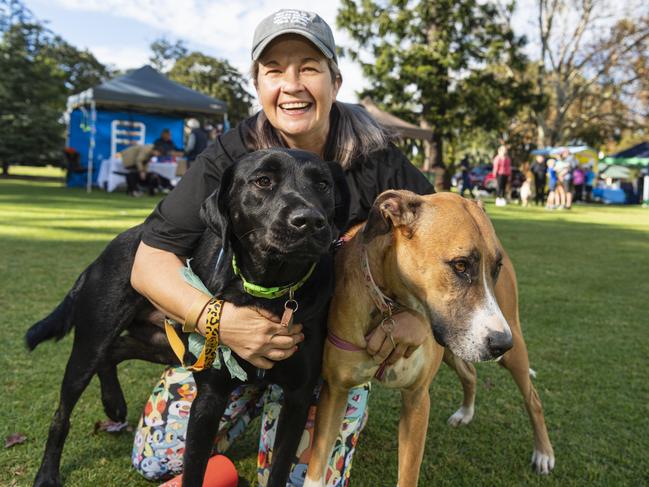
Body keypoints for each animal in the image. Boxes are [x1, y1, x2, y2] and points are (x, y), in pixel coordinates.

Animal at [26, 150, 350, 487]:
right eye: (263, 181)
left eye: (323, 184)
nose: (310, 221)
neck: (269, 293)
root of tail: (107, 251)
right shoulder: (209, 397)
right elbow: (194, 469)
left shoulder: (298, 398)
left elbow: (280, 468)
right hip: (91, 343)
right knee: (62, 413)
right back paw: (48, 473)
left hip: (164, 344)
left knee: (115, 351)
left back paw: (113, 402)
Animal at [306, 191, 556, 487]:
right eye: (460, 265)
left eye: (496, 268)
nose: (501, 344)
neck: (390, 309)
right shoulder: (335, 391)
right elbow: (316, 466)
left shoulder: (417, 400)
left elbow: (408, 475)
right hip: (455, 348)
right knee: (470, 373)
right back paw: (466, 412)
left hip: (510, 348)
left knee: (533, 399)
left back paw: (543, 453)